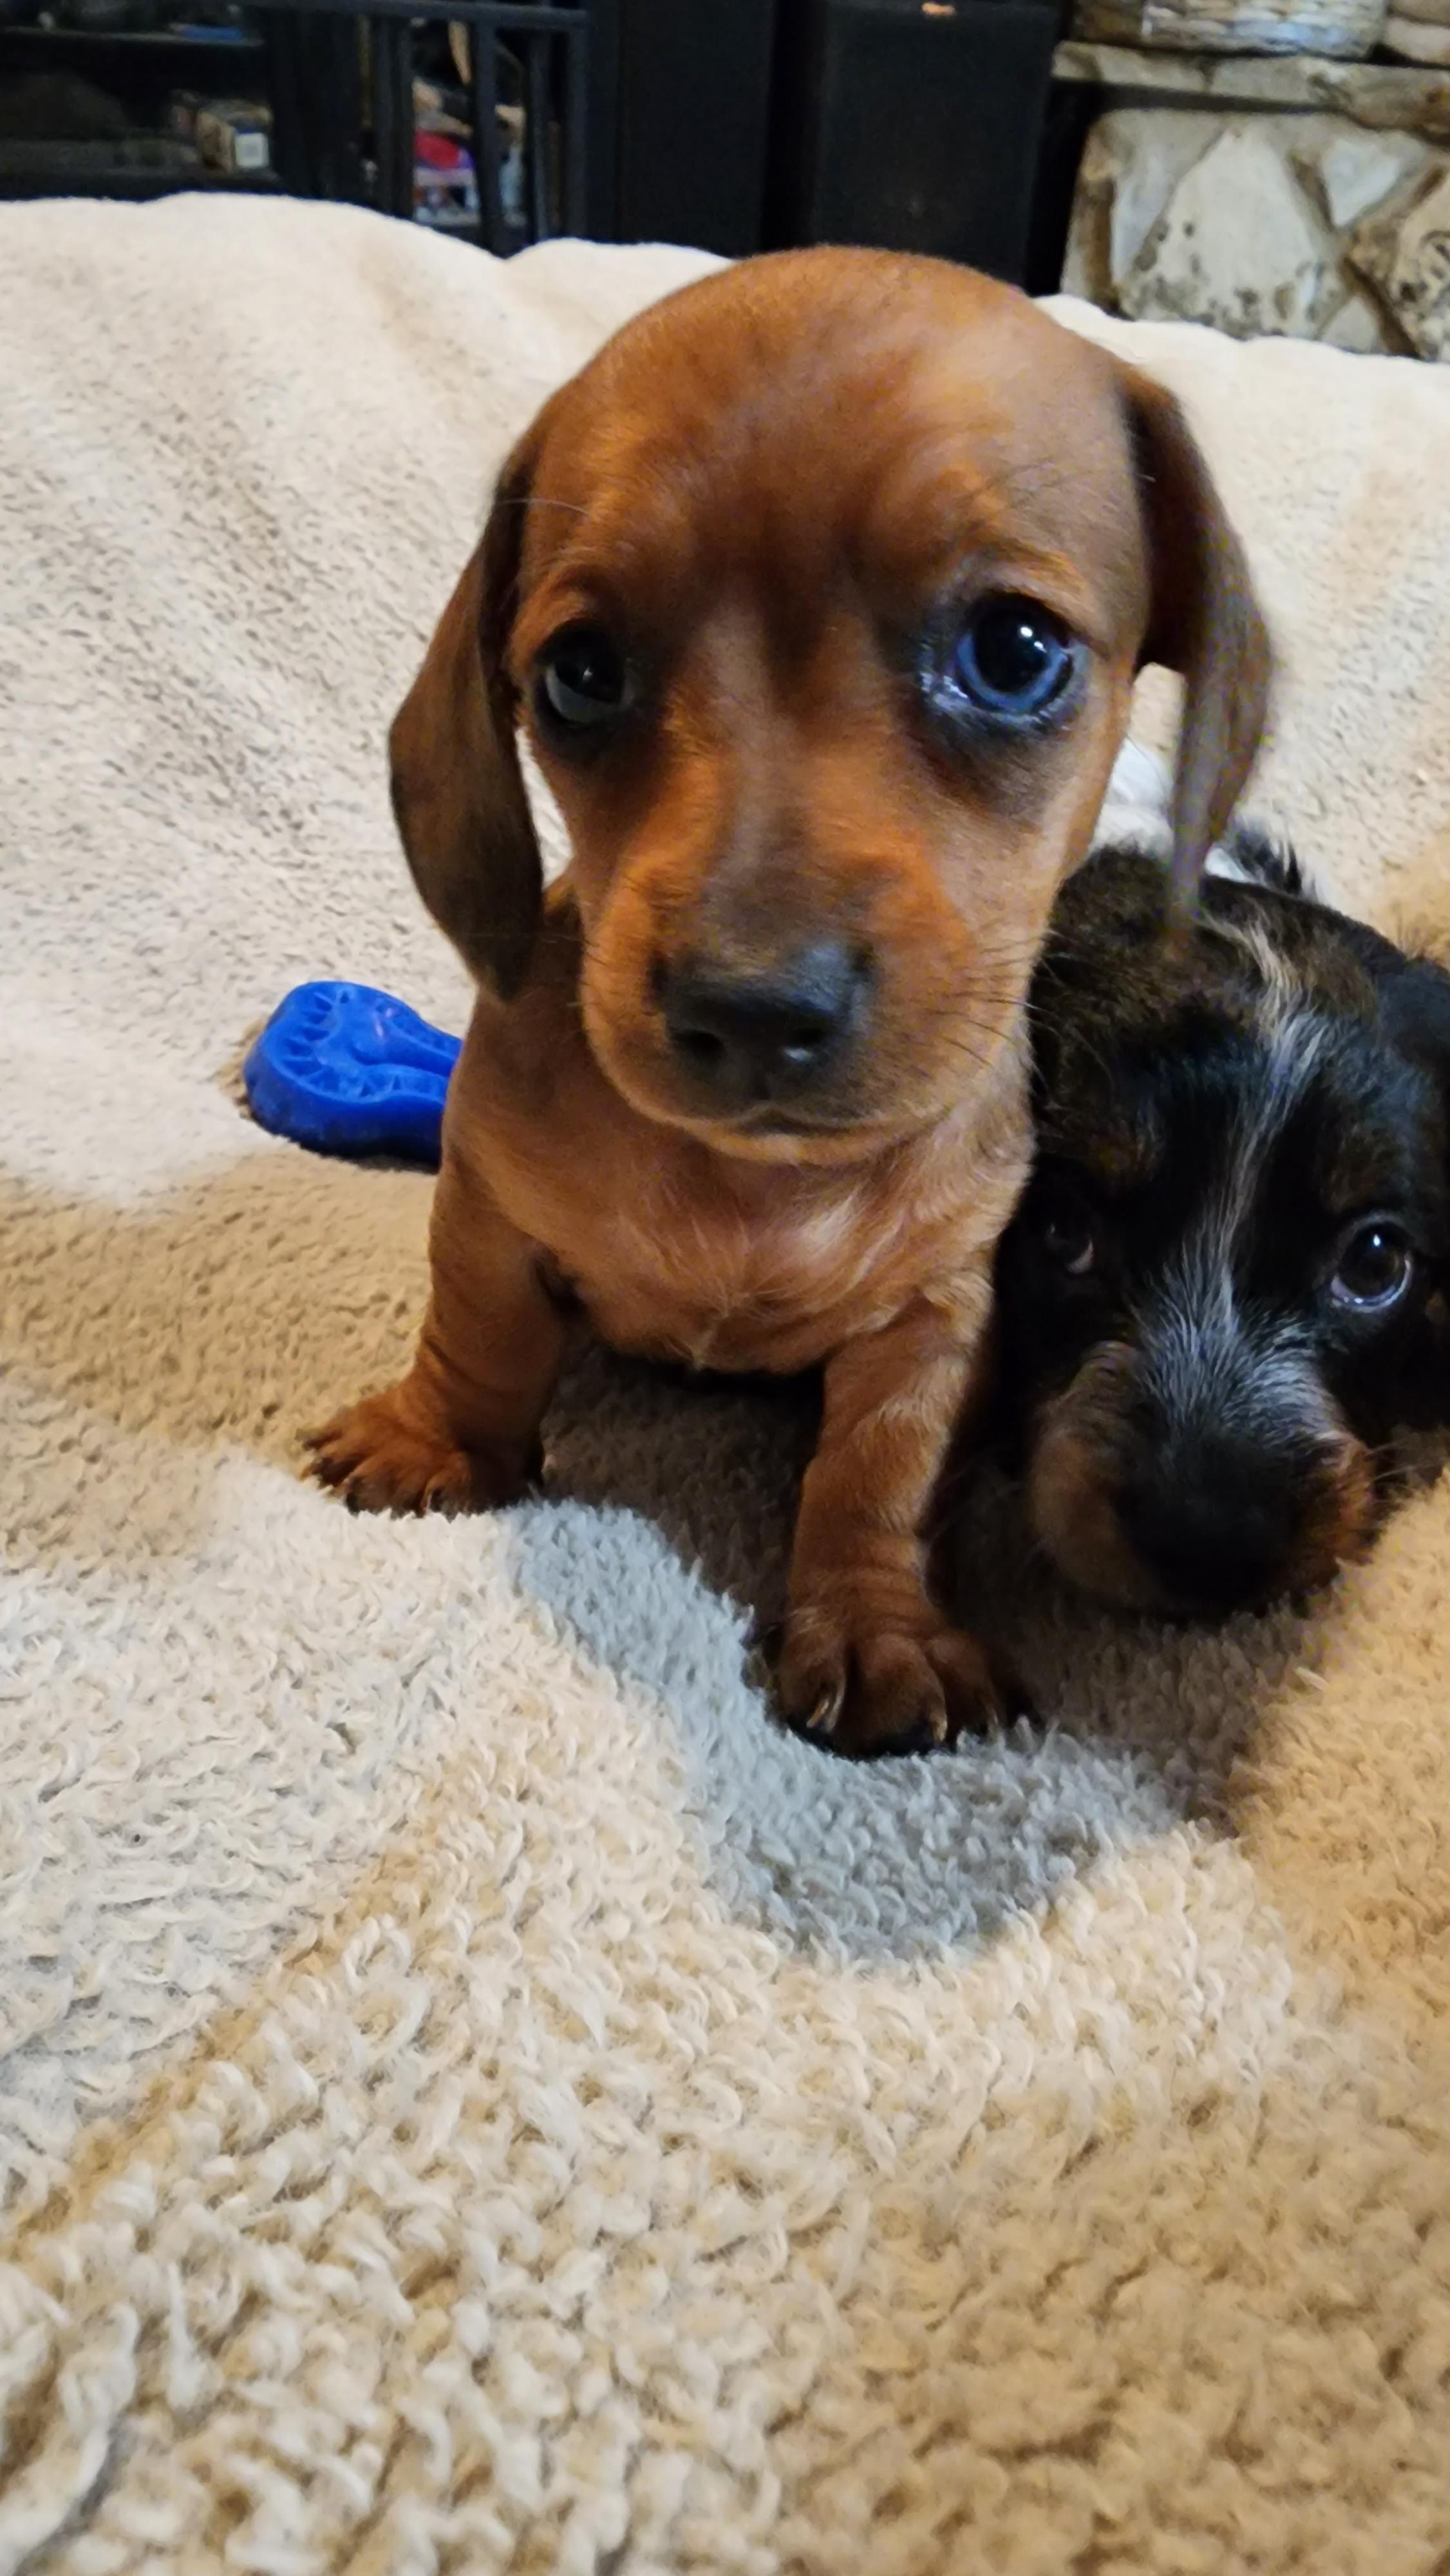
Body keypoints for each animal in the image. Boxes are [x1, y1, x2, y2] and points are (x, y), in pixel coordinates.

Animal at [307, 247, 1269, 1757]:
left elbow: (879, 1469)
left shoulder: (937, 1315)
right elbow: (477, 1330)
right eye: (578, 674)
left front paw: (875, 1622)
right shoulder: (488, 1207)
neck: (753, 1184)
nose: (751, 1007)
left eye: (1013, 651)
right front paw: (438, 1437)